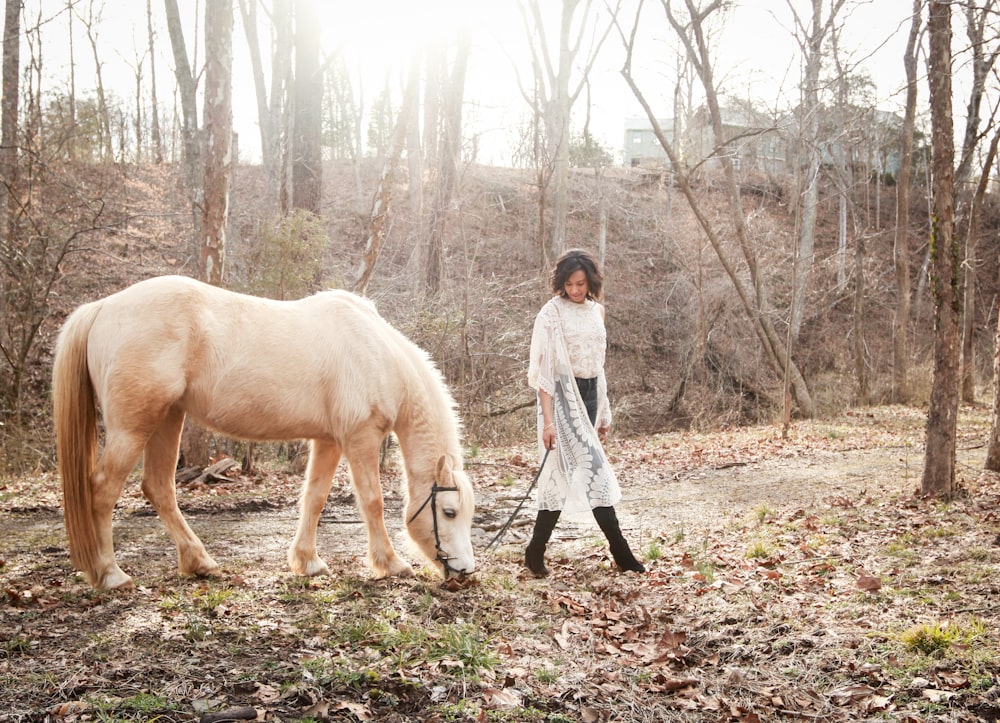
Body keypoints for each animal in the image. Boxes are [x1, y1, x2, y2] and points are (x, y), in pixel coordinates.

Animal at [53, 274, 476, 592]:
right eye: (449, 511)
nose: (466, 573)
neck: (376, 353)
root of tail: (102, 307)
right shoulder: (360, 438)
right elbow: (372, 502)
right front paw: (391, 563)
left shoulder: (328, 441)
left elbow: (314, 499)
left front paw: (308, 562)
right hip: (133, 427)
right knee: (103, 489)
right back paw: (111, 574)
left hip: (167, 419)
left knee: (158, 488)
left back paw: (200, 562)